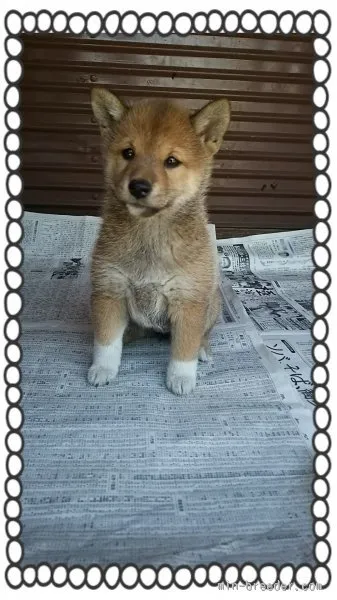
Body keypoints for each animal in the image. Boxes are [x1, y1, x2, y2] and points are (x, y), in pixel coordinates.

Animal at [86, 90, 230, 394]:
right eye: (128, 153)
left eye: (171, 161)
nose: (139, 187)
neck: (150, 233)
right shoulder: (109, 290)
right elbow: (106, 341)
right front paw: (103, 368)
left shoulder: (188, 299)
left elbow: (184, 349)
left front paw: (182, 378)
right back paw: (129, 334)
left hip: (210, 304)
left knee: (203, 334)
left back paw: (203, 349)